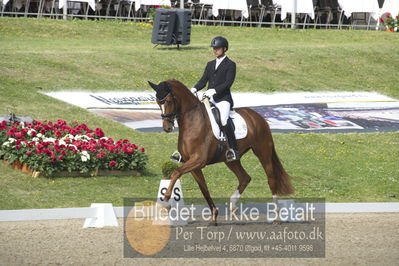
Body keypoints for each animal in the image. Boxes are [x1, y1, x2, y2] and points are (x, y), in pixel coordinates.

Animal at [149, 79, 294, 224]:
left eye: (168, 101)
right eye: (158, 102)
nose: (167, 127)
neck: (192, 121)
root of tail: (259, 117)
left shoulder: (199, 160)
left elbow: (176, 173)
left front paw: (166, 201)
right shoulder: (193, 164)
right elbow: (204, 188)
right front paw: (214, 215)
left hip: (263, 152)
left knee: (271, 179)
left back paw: (276, 216)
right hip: (231, 160)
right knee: (245, 178)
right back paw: (233, 207)